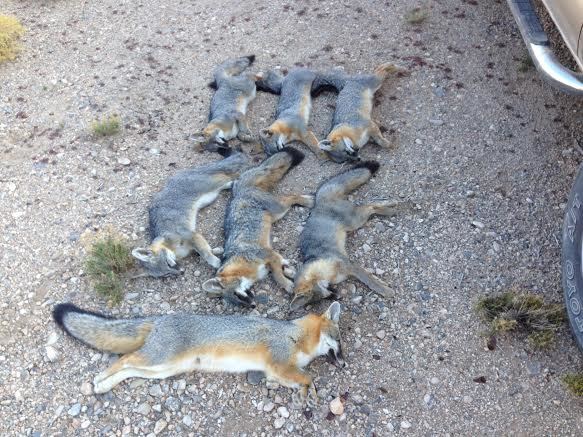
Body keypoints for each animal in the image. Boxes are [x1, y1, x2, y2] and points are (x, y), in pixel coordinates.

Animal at [52, 301, 344, 405]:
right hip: (159, 360)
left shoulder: (276, 372)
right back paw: (100, 379)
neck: (296, 335)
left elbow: (300, 379)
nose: (343, 363)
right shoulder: (280, 364)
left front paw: (304, 394)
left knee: (129, 368)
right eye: (339, 341)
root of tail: (160, 318)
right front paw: (310, 393)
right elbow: (309, 377)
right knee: (124, 359)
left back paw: (104, 385)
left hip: (162, 370)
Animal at [202, 147, 314, 307]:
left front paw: (287, 284)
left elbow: (277, 276)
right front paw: (288, 269)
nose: (253, 305)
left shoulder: (267, 254)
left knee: (290, 196)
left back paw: (308, 201)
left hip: (279, 209)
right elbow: (280, 263)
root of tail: (238, 190)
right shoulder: (272, 255)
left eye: (237, 294)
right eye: (239, 304)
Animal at [290, 161, 413, 310]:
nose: (337, 297)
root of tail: (318, 202)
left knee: (369, 206)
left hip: (355, 221)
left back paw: (389, 207)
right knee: (370, 205)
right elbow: (371, 277)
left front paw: (385, 290)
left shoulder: (349, 265)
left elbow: (370, 281)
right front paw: (383, 284)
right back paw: (390, 206)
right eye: (327, 296)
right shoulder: (348, 269)